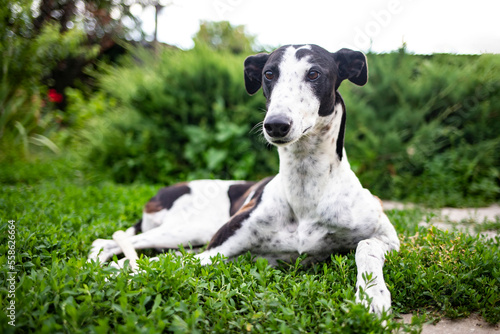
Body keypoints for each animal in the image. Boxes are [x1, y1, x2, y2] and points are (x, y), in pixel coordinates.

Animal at [90, 43, 400, 314]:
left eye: (314, 74)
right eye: (269, 74)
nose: (276, 125)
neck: (306, 187)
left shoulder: (390, 238)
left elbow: (366, 245)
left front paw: (372, 294)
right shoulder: (217, 250)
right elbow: (166, 266)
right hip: (191, 229)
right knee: (107, 244)